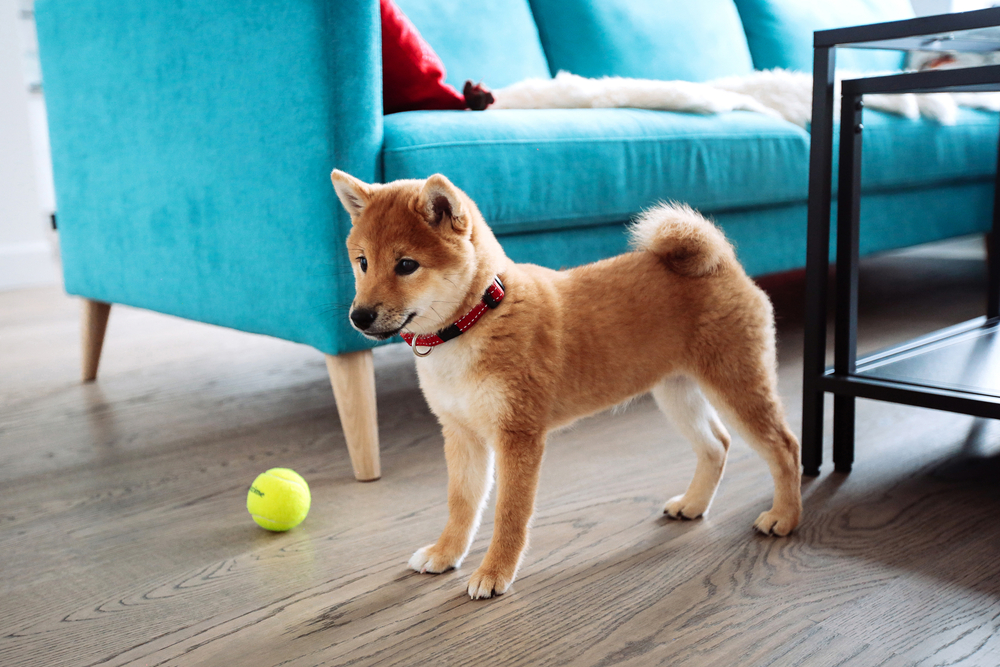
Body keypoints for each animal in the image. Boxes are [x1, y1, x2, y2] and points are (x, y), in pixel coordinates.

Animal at [332, 171, 800, 600]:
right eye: (362, 262)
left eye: (406, 265)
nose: (358, 316)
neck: (475, 319)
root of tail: (723, 262)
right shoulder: (461, 434)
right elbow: (461, 504)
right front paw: (445, 554)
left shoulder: (518, 436)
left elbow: (509, 513)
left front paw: (494, 573)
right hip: (676, 392)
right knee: (716, 445)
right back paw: (694, 505)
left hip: (736, 384)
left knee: (784, 446)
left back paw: (785, 517)